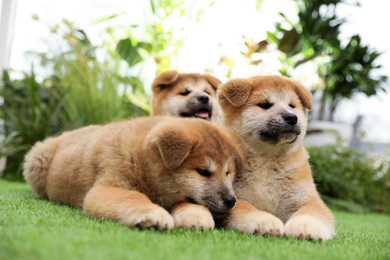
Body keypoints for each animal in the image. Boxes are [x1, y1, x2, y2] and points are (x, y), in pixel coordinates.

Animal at [22, 117, 245, 230]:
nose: (231, 200)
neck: (140, 158)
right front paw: (152, 214)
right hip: (35, 161)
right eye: (203, 172)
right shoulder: (109, 185)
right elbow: (132, 198)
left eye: (228, 172)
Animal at [219, 74, 336, 240]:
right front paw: (264, 220)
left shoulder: (308, 199)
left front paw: (306, 226)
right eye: (264, 105)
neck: (267, 158)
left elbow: (311, 213)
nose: (292, 117)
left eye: (292, 105)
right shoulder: (231, 197)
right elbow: (246, 207)